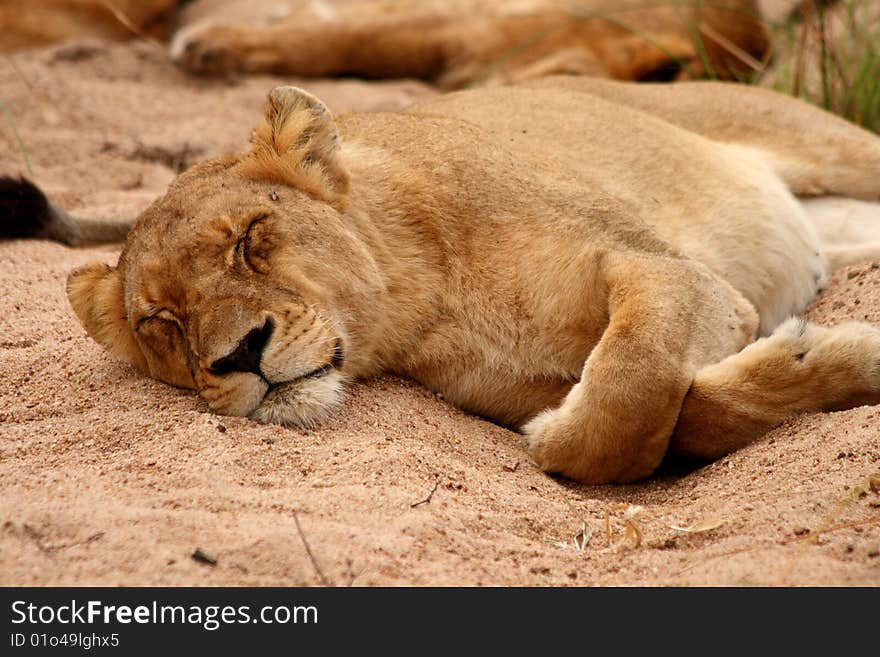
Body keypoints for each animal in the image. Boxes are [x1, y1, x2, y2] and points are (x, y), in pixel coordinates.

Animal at [5, 79, 880, 484]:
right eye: (160, 321)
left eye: (251, 239)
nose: (239, 354)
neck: (428, 307)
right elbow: (664, 410)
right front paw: (821, 360)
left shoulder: (662, 266)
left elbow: (631, 380)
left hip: (827, 141)